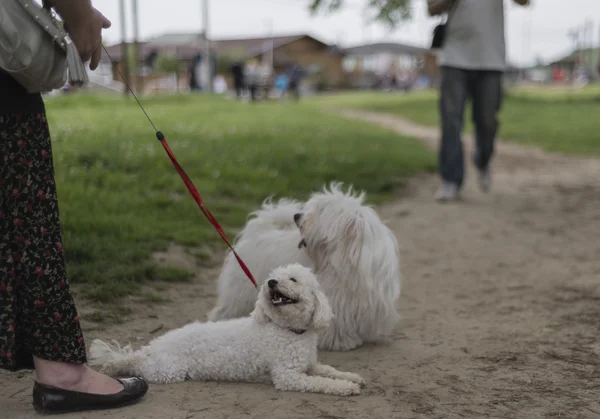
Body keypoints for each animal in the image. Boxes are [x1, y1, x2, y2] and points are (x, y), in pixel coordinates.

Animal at [86, 266, 364, 398]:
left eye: (293, 279)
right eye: (274, 277)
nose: (271, 282)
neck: (287, 330)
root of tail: (155, 346)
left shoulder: (309, 365)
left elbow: (328, 370)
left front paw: (352, 377)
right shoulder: (288, 376)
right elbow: (321, 382)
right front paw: (346, 388)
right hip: (167, 371)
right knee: (137, 365)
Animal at [209, 183, 400, 352]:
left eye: (320, 211)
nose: (296, 216)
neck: (344, 260)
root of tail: (259, 232)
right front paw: (340, 342)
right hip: (240, 291)